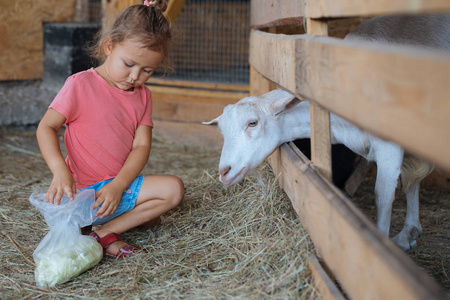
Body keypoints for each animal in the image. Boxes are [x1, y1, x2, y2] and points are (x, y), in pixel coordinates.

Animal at [206, 15, 448, 252]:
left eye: (252, 123)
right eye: (222, 131)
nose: (224, 172)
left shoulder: (390, 145)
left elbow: (383, 196)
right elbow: (411, 180)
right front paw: (409, 234)